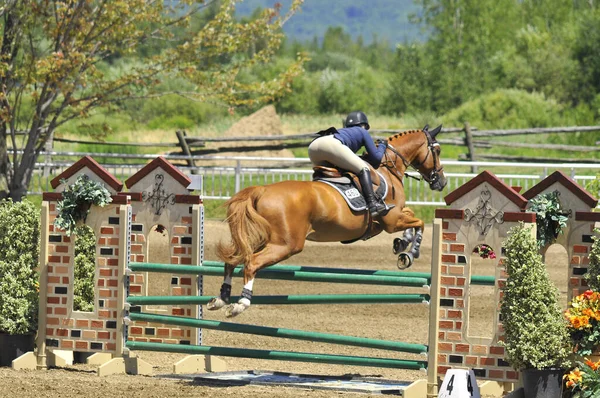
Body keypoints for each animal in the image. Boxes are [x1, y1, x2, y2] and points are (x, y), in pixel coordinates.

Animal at [209, 124, 448, 318]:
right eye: (437, 150)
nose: (442, 182)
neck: (388, 169)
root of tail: (262, 189)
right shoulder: (391, 221)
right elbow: (419, 223)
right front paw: (409, 253)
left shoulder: (396, 216)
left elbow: (412, 216)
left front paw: (401, 244)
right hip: (286, 244)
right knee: (251, 263)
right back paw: (240, 304)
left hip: (262, 239)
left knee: (233, 260)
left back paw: (221, 299)